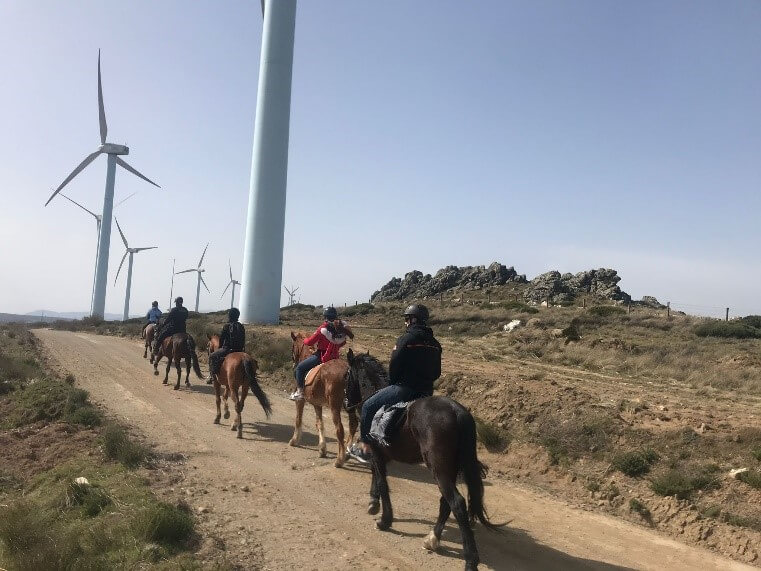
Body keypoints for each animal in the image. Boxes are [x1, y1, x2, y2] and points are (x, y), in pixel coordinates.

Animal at [288, 330, 356, 470]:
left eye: (292, 346)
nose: (293, 362)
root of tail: (348, 371)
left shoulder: (300, 401)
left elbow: (298, 419)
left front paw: (294, 440)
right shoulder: (317, 404)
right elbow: (319, 424)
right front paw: (322, 449)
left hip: (335, 405)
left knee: (340, 430)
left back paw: (339, 460)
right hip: (351, 405)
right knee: (353, 425)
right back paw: (347, 453)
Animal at [344, 354, 498, 571]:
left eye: (347, 375)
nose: (346, 401)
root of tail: (457, 412)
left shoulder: (376, 451)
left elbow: (382, 483)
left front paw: (385, 520)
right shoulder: (379, 454)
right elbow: (376, 476)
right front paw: (373, 503)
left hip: (439, 468)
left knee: (457, 503)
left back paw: (470, 560)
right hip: (449, 468)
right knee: (445, 502)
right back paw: (433, 539)